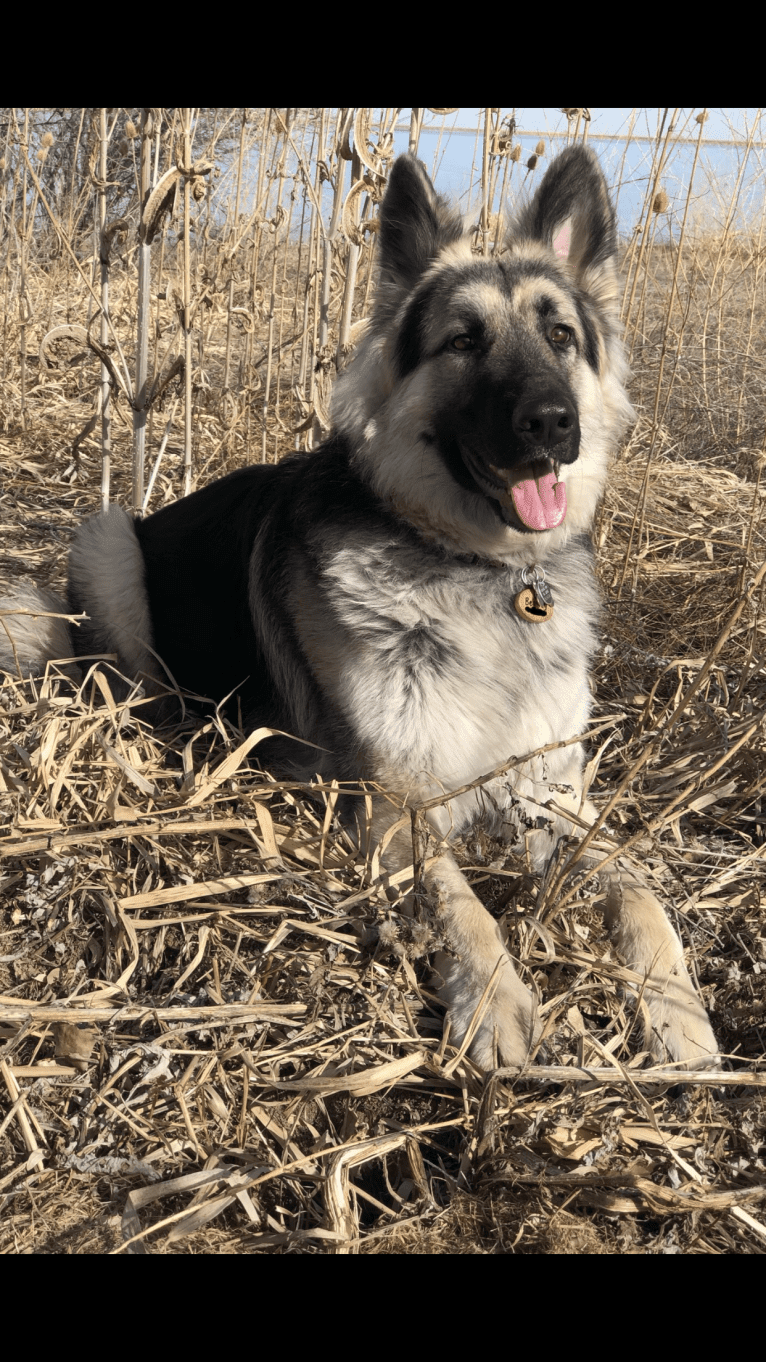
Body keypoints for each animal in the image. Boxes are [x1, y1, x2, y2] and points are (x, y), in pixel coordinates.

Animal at [0, 146, 714, 1062]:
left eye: (560, 336)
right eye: (464, 341)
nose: (555, 423)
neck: (479, 571)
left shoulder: (555, 796)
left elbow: (637, 888)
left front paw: (677, 1011)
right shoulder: (394, 805)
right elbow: (455, 902)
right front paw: (494, 999)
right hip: (109, 539)